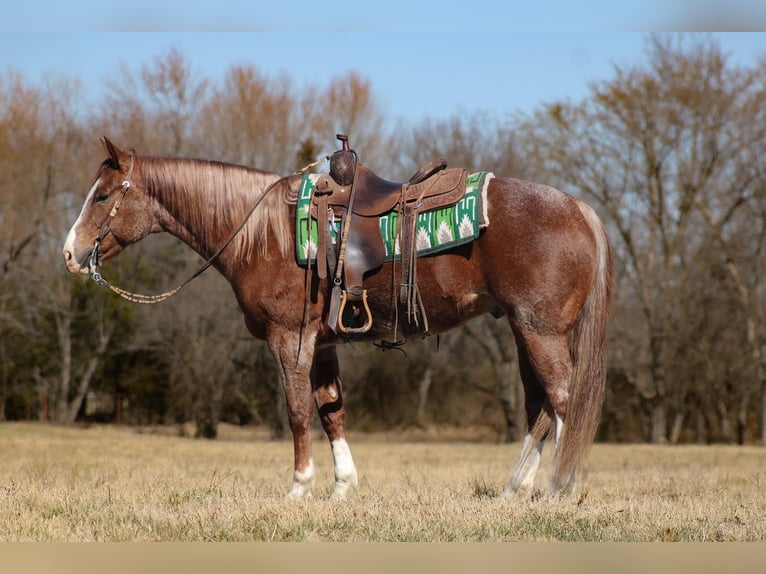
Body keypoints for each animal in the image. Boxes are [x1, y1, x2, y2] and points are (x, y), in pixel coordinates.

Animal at [63, 137, 613, 500]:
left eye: (103, 195)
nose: (70, 253)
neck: (264, 231)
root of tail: (579, 209)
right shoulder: (323, 342)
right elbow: (332, 412)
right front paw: (342, 488)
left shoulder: (290, 338)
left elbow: (297, 411)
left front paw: (299, 488)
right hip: (523, 331)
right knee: (540, 406)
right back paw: (514, 490)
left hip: (540, 331)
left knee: (564, 399)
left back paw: (558, 490)